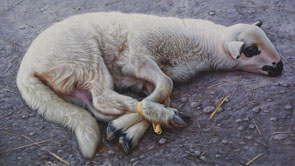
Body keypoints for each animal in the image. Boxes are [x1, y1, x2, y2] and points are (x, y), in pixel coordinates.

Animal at [16, 12, 284, 159]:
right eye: (252, 50)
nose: (280, 67)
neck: (200, 45)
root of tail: (26, 68)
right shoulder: (137, 57)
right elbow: (165, 86)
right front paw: (153, 115)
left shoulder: (144, 79)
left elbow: (161, 92)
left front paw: (127, 131)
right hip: (84, 57)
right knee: (102, 98)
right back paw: (167, 115)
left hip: (73, 82)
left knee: (97, 107)